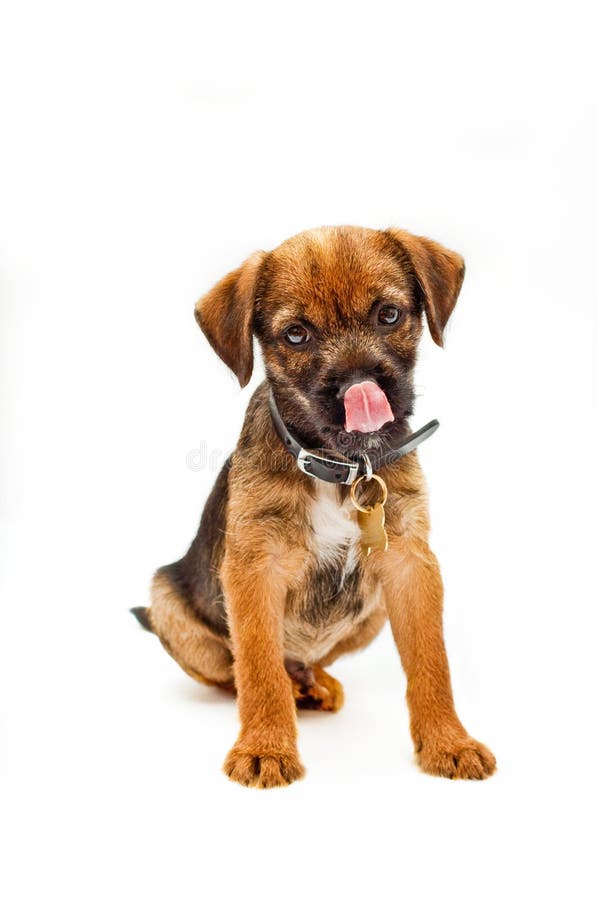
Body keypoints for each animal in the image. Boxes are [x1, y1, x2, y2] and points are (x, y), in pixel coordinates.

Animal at [134, 225, 500, 788]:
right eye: (296, 334)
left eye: (388, 315)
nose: (359, 387)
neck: (342, 467)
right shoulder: (253, 569)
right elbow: (258, 667)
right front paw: (264, 747)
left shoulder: (411, 566)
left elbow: (431, 663)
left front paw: (448, 741)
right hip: (165, 603)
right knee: (240, 672)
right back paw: (293, 691)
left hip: (372, 612)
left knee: (304, 662)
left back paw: (315, 682)